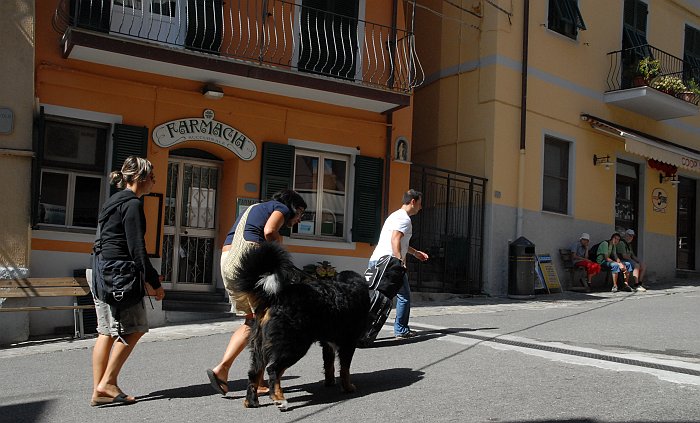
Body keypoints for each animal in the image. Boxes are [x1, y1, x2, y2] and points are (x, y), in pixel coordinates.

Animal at [232, 242, 404, 410]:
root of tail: (275, 297)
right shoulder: (348, 342)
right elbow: (345, 369)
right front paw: (347, 387)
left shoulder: (327, 343)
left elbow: (329, 365)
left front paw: (330, 382)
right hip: (294, 345)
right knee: (273, 369)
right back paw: (279, 399)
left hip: (259, 346)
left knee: (254, 372)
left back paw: (251, 401)